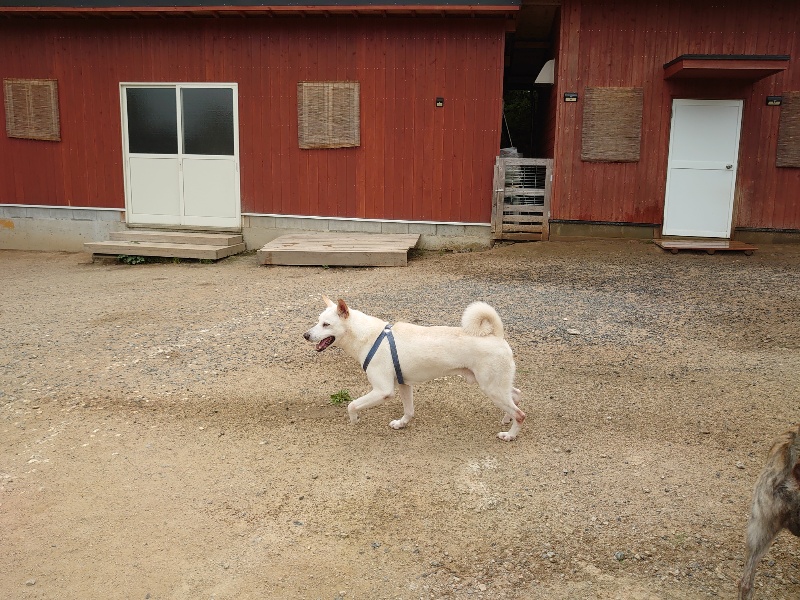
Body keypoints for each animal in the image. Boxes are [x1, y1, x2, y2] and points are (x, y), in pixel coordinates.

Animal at [303, 296, 525, 441]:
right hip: (496, 385)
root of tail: (496, 334)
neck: (369, 336)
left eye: (326, 324)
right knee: (516, 394)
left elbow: (352, 405)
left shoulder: (383, 391)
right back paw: (506, 418)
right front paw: (401, 424)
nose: (305, 335)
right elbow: (409, 411)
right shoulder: (404, 384)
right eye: (318, 321)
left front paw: (354, 420)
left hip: (491, 387)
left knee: (520, 414)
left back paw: (510, 435)